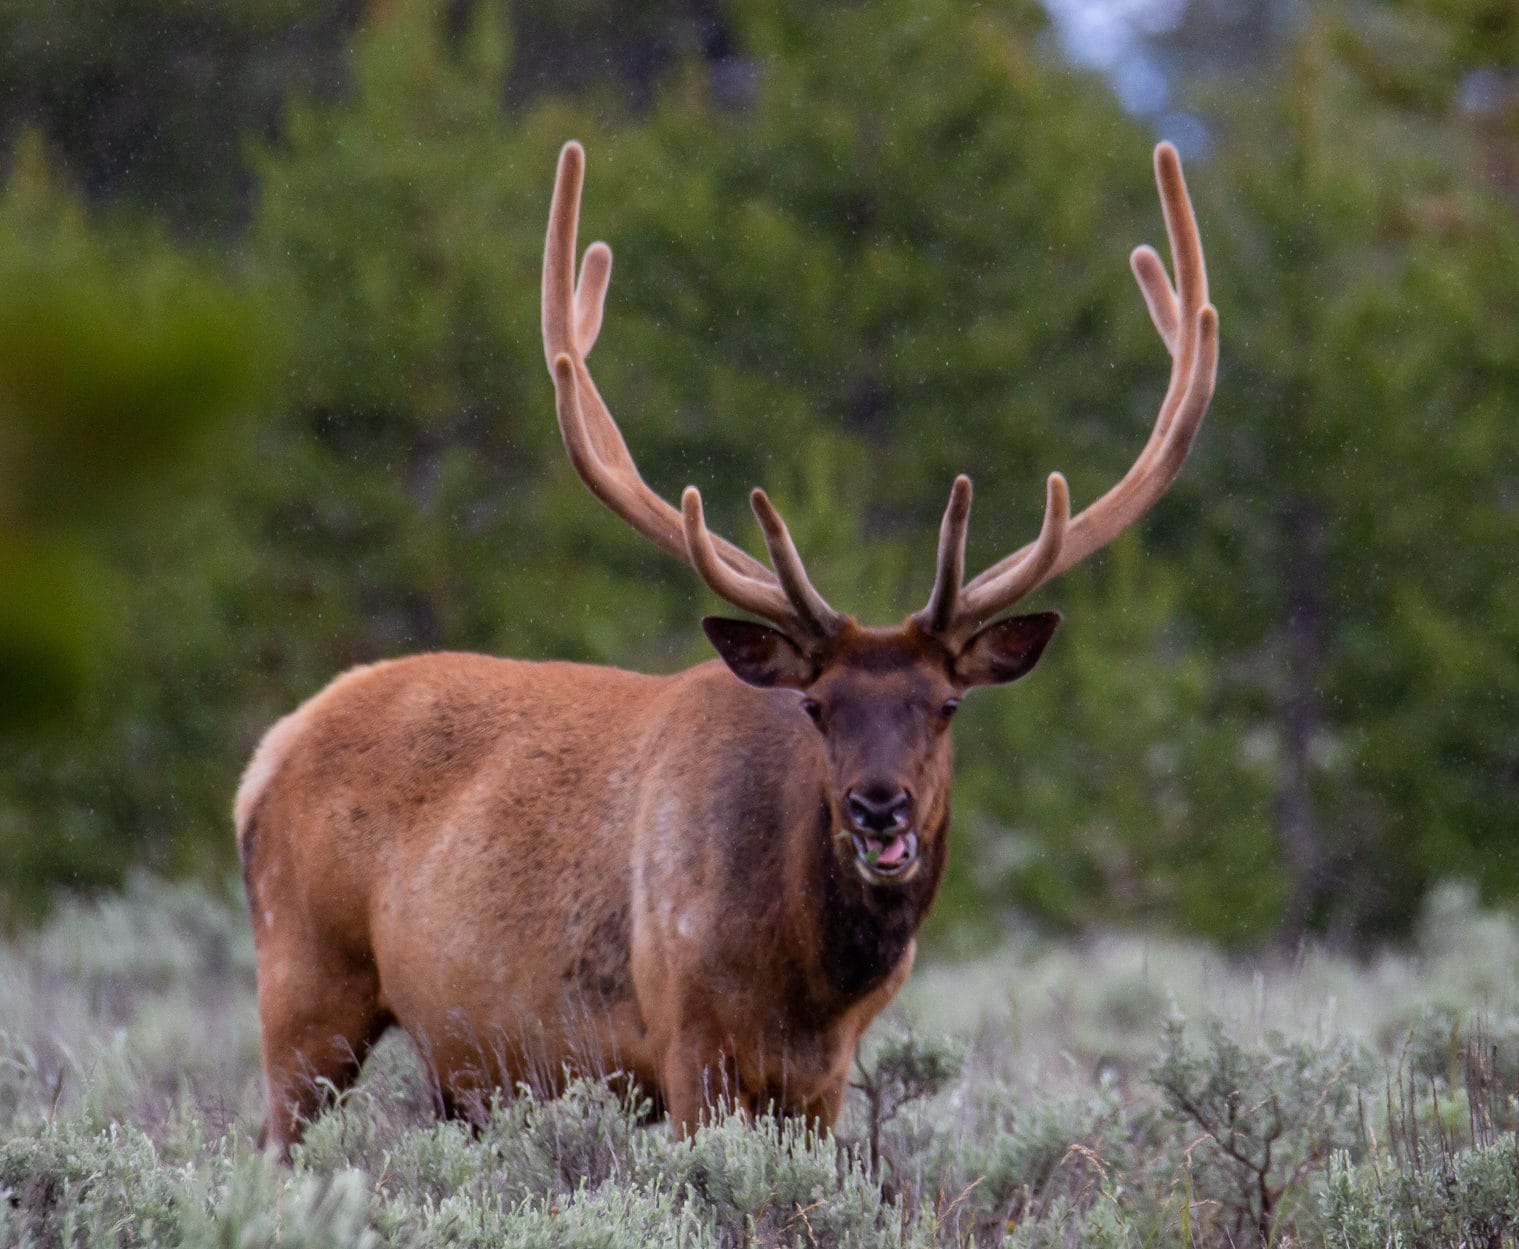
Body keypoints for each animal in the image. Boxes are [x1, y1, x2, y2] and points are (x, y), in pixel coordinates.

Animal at [230, 142, 1215, 1160]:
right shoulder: (684, 1036)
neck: (807, 980)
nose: (877, 806)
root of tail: (266, 756)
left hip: (453, 1066)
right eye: (815, 706)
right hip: (303, 982)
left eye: (947, 703)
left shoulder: (821, 1079)